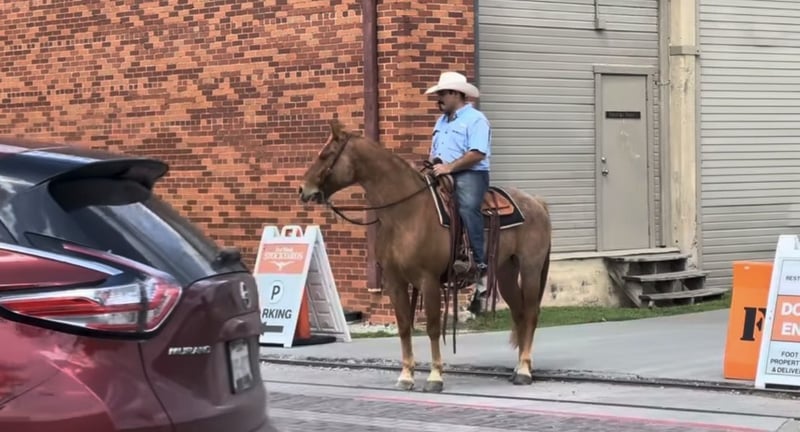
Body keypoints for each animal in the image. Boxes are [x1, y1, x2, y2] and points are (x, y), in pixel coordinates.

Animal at [298, 118, 552, 393]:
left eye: (326, 154)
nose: (303, 189)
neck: (406, 213)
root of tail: (536, 202)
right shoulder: (394, 281)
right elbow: (404, 327)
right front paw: (406, 376)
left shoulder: (428, 280)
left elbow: (431, 327)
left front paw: (434, 377)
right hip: (506, 272)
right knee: (519, 313)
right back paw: (518, 368)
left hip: (530, 268)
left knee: (531, 313)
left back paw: (525, 370)